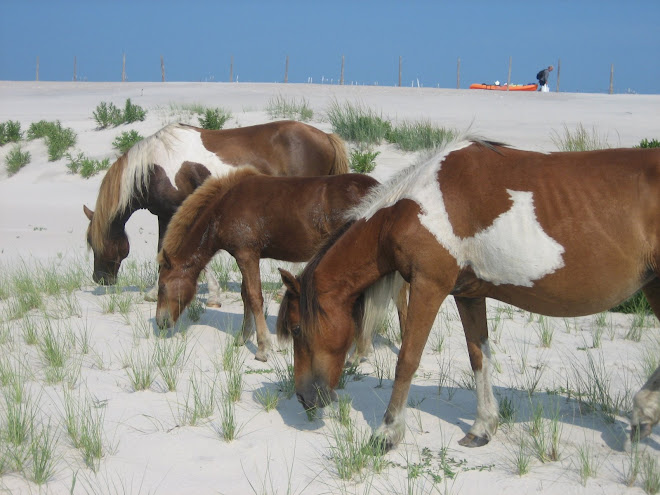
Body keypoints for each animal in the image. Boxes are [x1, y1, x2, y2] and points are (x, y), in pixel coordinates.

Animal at [85, 122, 348, 304]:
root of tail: (325, 136)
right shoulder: (166, 214)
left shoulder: (176, 212)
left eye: (92, 241)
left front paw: (211, 295)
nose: (99, 278)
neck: (154, 166)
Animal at [155, 169, 390, 362]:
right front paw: (243, 337)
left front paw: (262, 348)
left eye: (162, 287)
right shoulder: (247, 256)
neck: (224, 209)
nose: (160, 322)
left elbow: (254, 297)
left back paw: (359, 352)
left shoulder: (246, 254)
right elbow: (246, 295)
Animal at [278, 137, 660, 454]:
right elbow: (479, 357)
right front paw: (482, 427)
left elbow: (407, 360)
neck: (411, 209)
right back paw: (642, 418)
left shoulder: (429, 286)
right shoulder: (468, 294)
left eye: (297, 329)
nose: (304, 398)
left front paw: (387, 433)